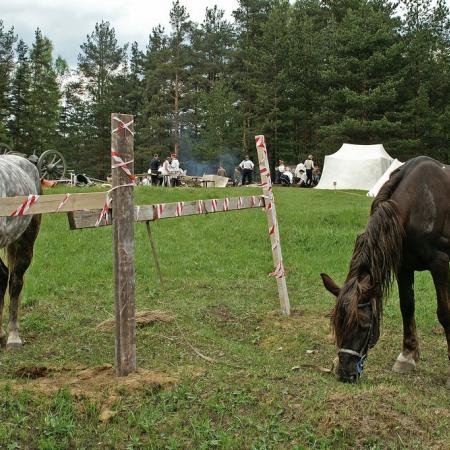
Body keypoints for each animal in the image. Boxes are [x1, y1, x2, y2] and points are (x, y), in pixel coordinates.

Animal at [320, 157, 450, 386]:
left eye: (363, 324)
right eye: (337, 323)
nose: (344, 373)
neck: (421, 203)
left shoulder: (440, 264)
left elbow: (444, 313)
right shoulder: (403, 266)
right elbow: (407, 306)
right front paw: (407, 356)